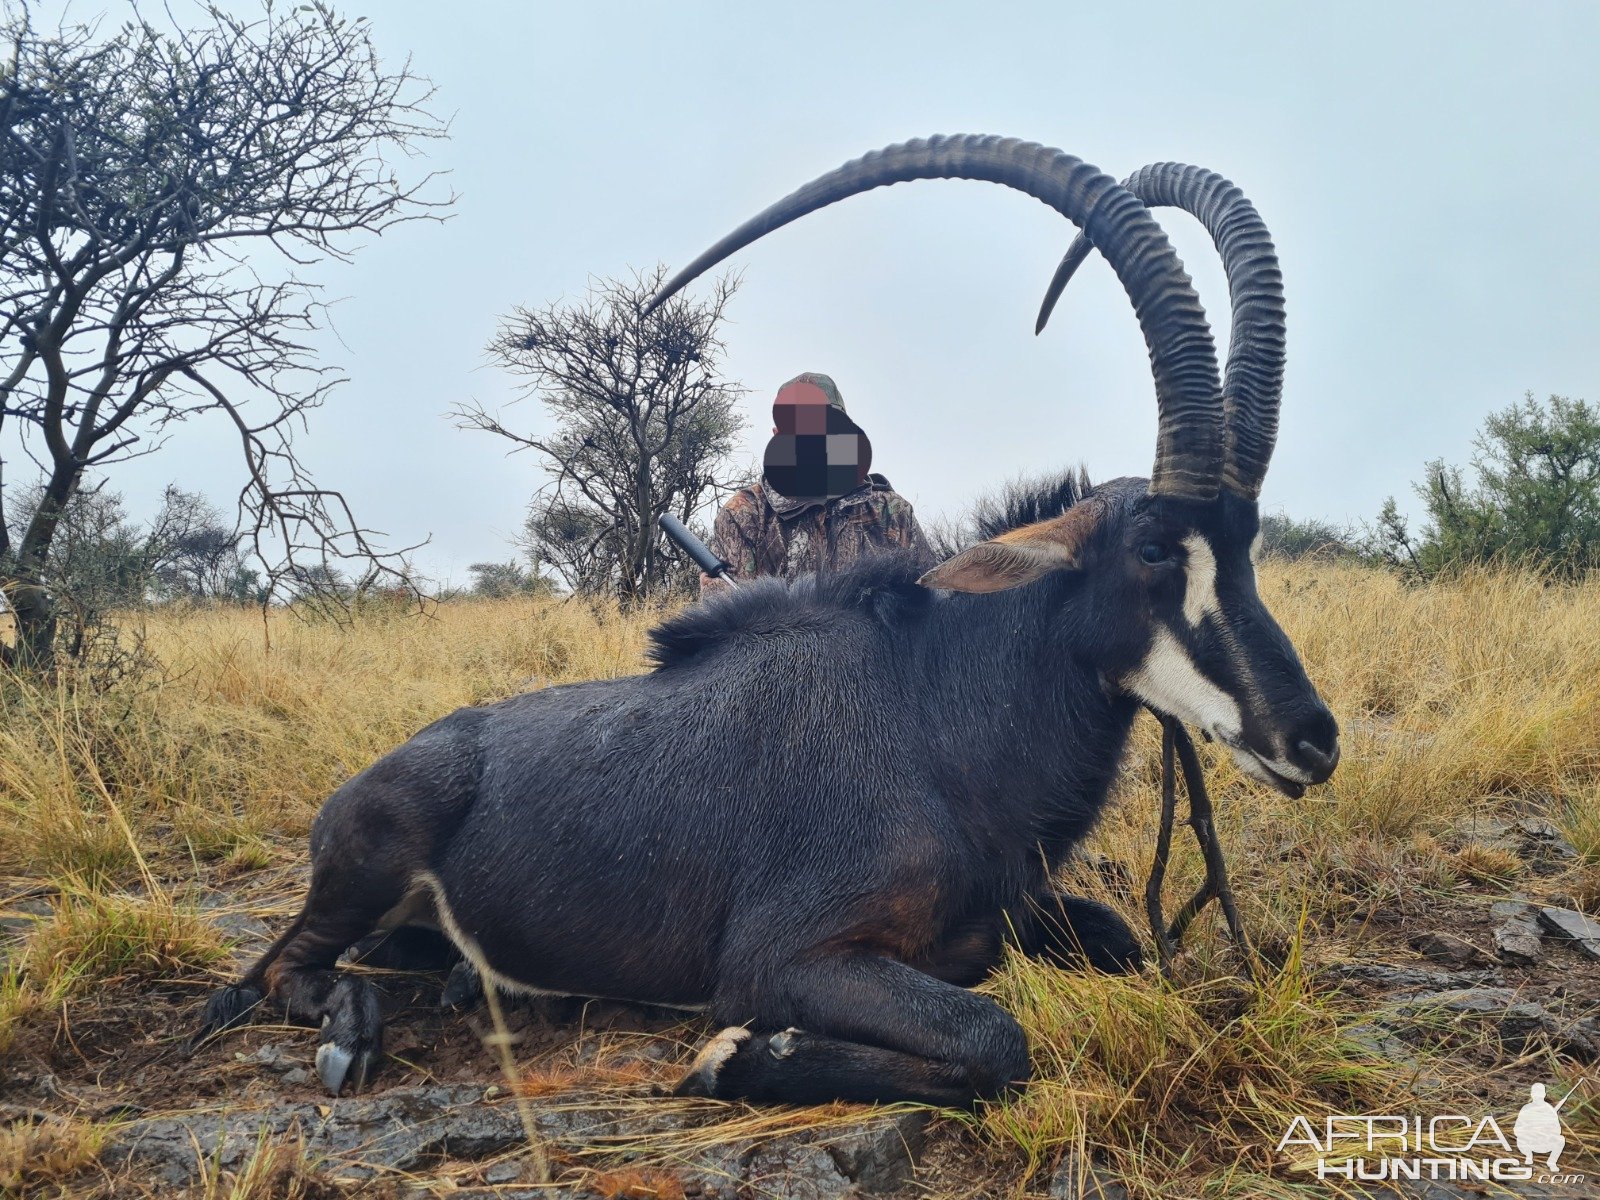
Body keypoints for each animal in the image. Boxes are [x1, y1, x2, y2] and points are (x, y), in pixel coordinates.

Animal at [196, 136, 1337, 1107]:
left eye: (1245, 542)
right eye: (1155, 551)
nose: (1312, 741)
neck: (938, 720)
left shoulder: (1018, 916)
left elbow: (1122, 944)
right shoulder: (786, 956)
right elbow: (993, 1039)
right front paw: (736, 1055)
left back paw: (455, 987)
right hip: (365, 869)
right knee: (271, 969)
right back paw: (352, 1027)